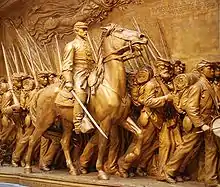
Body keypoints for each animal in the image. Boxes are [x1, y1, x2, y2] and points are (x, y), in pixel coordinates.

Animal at [24, 23, 147, 180]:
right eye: (120, 30)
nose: (142, 37)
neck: (111, 86)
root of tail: (40, 91)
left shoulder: (122, 119)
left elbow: (140, 133)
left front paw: (129, 158)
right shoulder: (105, 122)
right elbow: (103, 144)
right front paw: (101, 171)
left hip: (66, 122)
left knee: (64, 142)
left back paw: (72, 169)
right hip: (43, 121)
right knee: (32, 140)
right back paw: (28, 168)